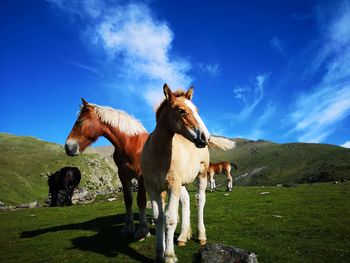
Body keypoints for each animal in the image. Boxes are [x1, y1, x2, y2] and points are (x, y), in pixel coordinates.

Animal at [65, 98, 150, 239]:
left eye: (80, 121)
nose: (67, 147)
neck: (130, 144)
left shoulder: (141, 176)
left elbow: (141, 200)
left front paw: (142, 231)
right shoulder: (123, 176)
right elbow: (128, 200)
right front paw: (128, 228)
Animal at [140, 84, 211, 263]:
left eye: (197, 110)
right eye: (181, 110)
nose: (205, 137)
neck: (158, 154)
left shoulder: (172, 186)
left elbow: (170, 219)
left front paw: (169, 256)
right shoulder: (152, 187)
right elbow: (158, 218)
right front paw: (159, 254)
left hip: (202, 174)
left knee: (200, 199)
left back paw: (201, 236)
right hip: (182, 183)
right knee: (185, 200)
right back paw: (183, 237)